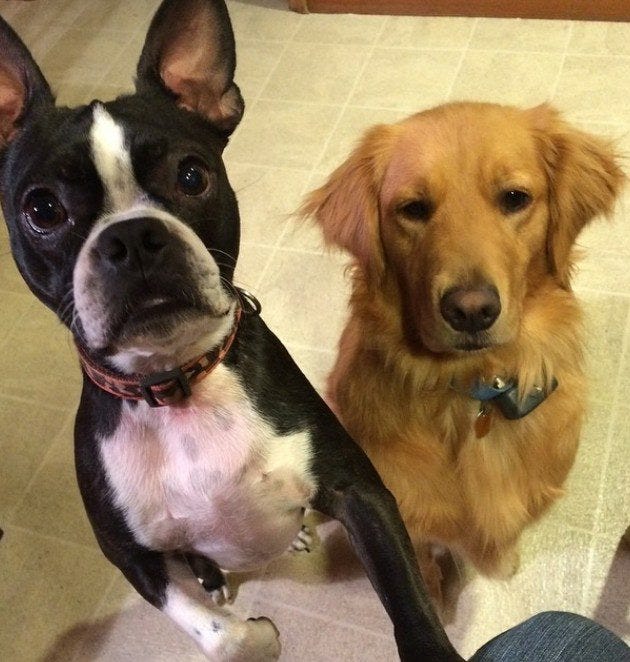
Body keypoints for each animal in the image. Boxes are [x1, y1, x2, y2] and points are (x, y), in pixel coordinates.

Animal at [0, 2, 464, 660]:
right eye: (41, 210)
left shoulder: (361, 493)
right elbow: (219, 635)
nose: (132, 237)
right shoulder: (131, 558)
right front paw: (255, 635)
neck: (177, 384)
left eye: (193, 175)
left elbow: (409, 602)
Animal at [301, 102, 625, 605]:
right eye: (413, 209)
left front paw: (504, 561)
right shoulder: (402, 510)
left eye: (514, 198)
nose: (471, 310)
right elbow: (420, 558)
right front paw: (432, 594)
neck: (474, 387)